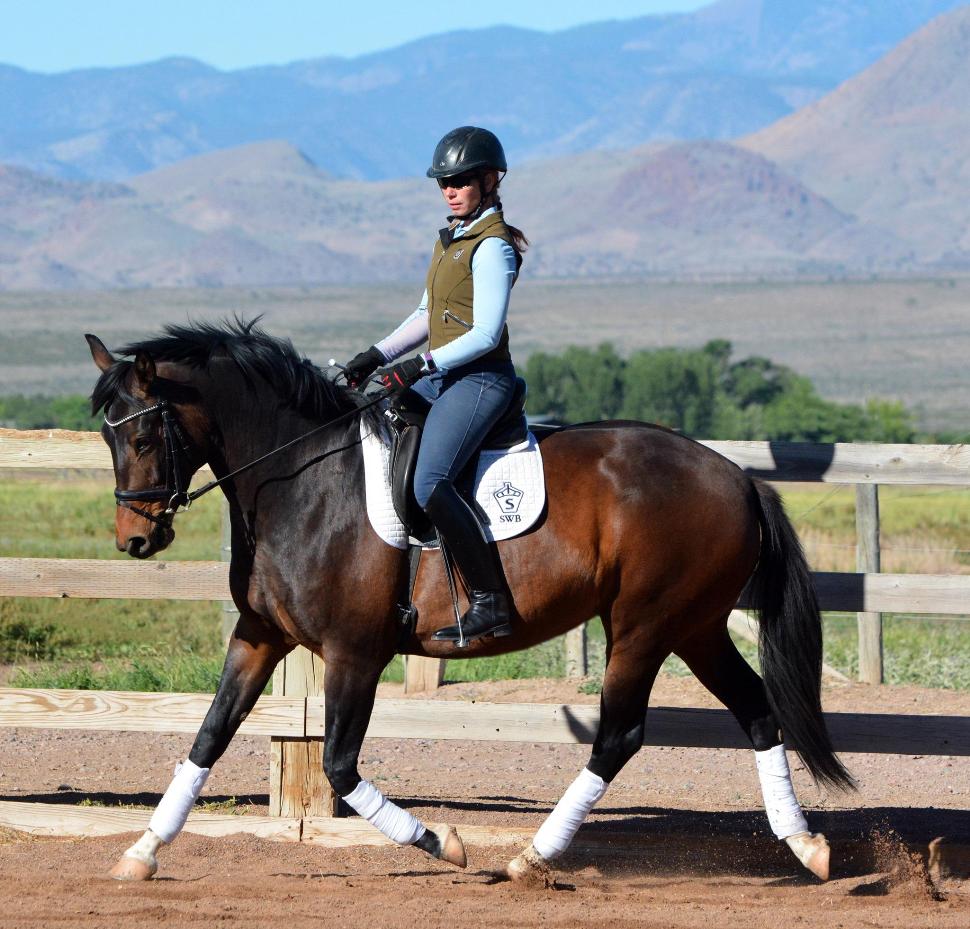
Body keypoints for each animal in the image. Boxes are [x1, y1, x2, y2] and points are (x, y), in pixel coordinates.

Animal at [85, 319, 851, 885]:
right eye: (106, 433)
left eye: (145, 433)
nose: (135, 539)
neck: (301, 480)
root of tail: (737, 476)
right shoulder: (258, 636)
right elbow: (207, 737)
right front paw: (141, 851)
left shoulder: (354, 652)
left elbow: (339, 764)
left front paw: (442, 840)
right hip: (696, 626)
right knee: (755, 709)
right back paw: (806, 847)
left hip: (643, 626)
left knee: (619, 735)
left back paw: (531, 856)